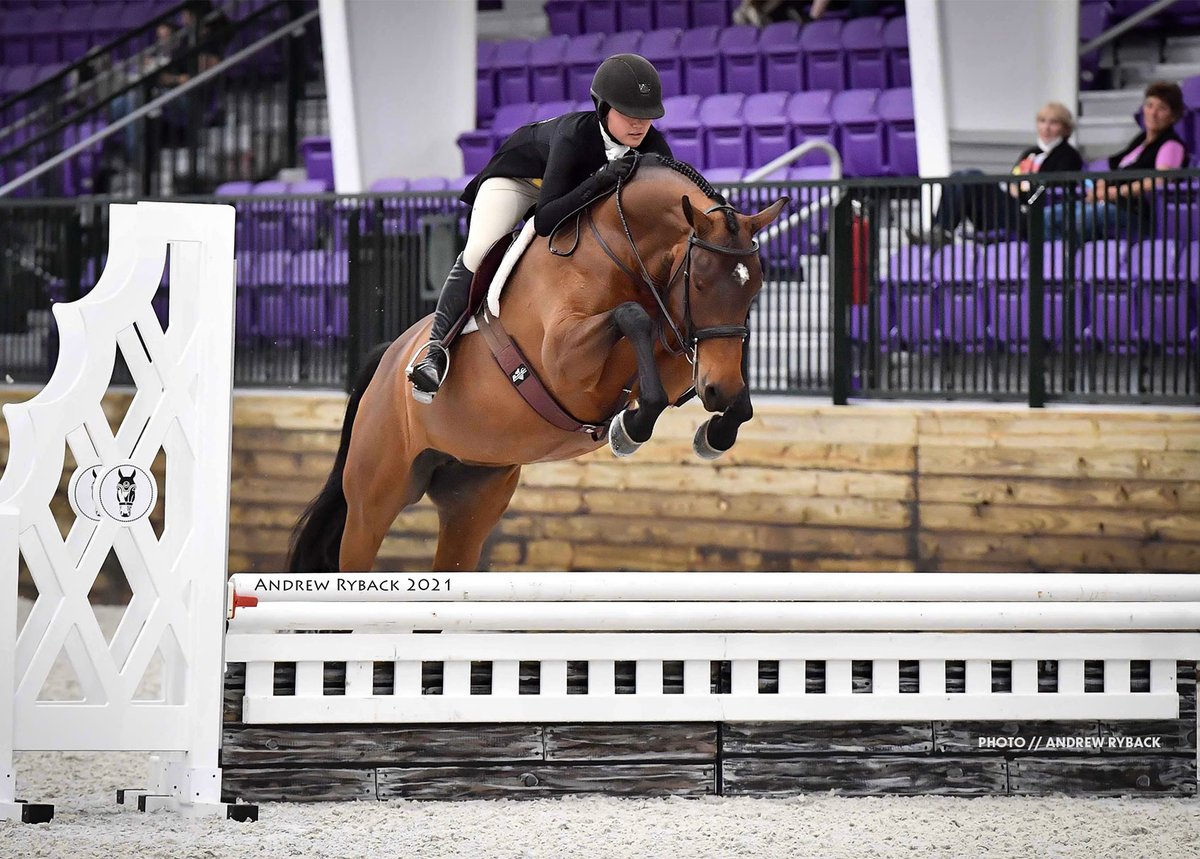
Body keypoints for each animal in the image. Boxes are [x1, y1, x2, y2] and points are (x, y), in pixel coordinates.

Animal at [286, 156, 788, 572]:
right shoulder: (565, 361)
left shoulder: (683, 350)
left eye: (756, 287)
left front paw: (716, 431)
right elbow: (632, 317)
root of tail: (388, 360)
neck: (623, 249)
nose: (718, 391)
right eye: (699, 282)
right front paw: (631, 427)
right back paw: (429, 367)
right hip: (373, 501)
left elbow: (676, 356)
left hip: (471, 500)